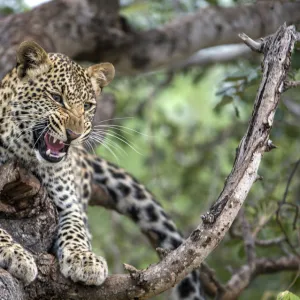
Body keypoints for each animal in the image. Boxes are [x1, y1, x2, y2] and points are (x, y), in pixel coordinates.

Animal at [0, 40, 204, 300]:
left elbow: (75, 230)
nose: (74, 134)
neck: (24, 154)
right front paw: (16, 255)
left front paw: (85, 260)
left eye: (87, 106)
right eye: (56, 97)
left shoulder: (69, 203)